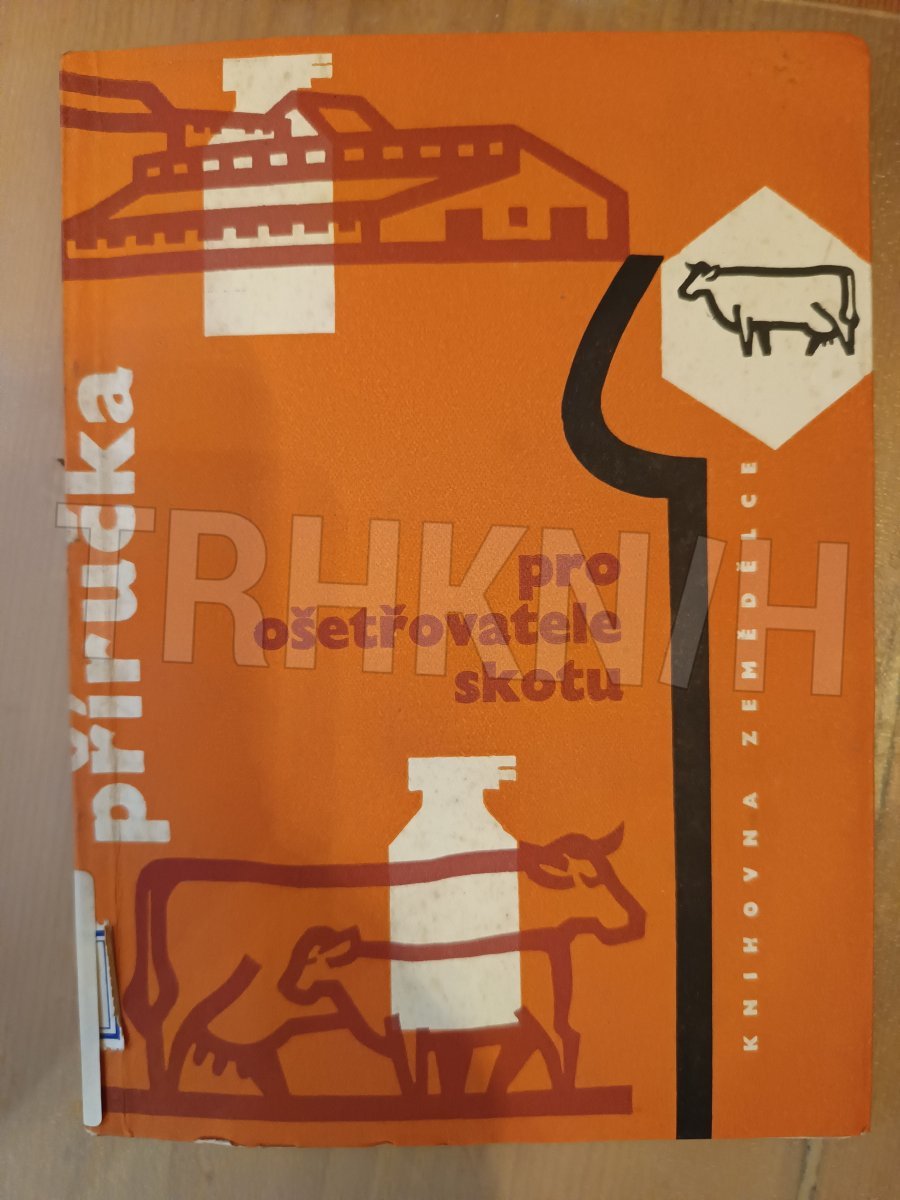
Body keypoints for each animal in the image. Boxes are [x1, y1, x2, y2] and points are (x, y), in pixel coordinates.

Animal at [677, 261, 858, 357]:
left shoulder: (744, 316)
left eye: (701, 277)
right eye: (691, 274)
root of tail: (844, 270)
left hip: (834, 312)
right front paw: (766, 353)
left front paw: (748, 353)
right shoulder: (762, 322)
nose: (683, 290)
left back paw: (848, 350)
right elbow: (764, 342)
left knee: (844, 326)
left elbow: (746, 339)